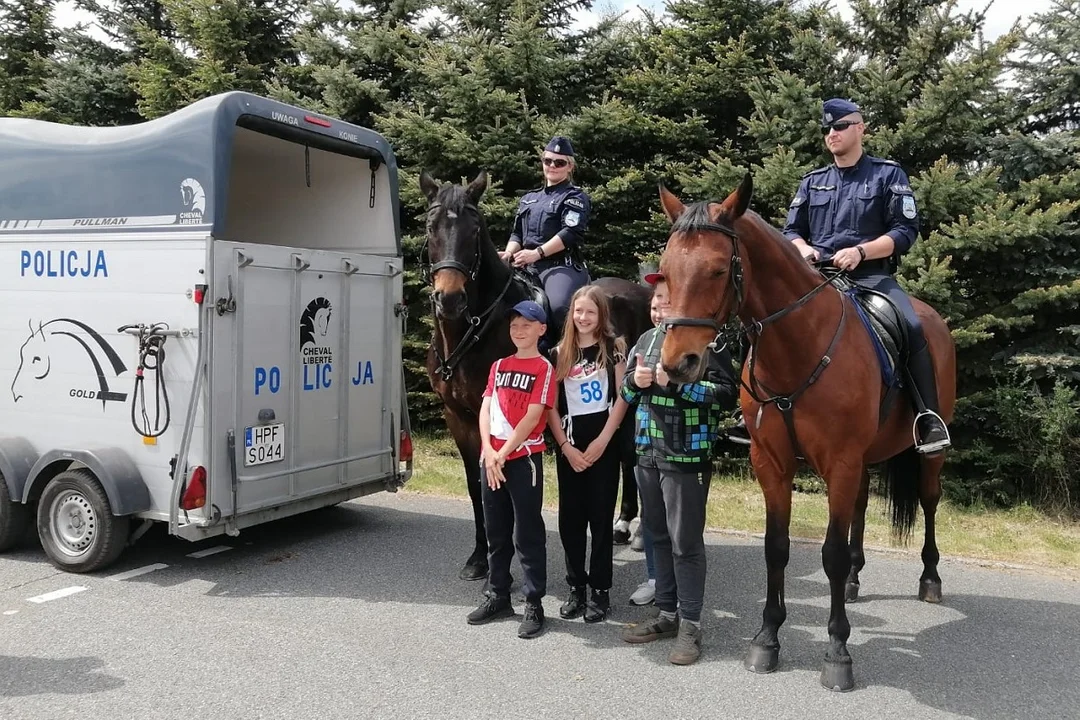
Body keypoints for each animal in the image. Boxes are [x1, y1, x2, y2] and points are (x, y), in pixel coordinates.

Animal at [414, 170, 648, 587]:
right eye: (430, 225)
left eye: (475, 229)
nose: (450, 299)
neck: (475, 330)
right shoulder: (458, 417)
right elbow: (476, 485)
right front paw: (480, 557)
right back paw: (622, 525)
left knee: (626, 453)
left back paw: (629, 527)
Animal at [656, 174, 954, 690]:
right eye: (666, 269)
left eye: (718, 270)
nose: (679, 364)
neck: (798, 345)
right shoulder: (772, 463)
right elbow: (776, 548)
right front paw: (766, 639)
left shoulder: (839, 462)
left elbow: (829, 553)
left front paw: (838, 651)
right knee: (861, 505)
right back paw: (854, 581)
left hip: (927, 453)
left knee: (930, 500)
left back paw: (930, 579)